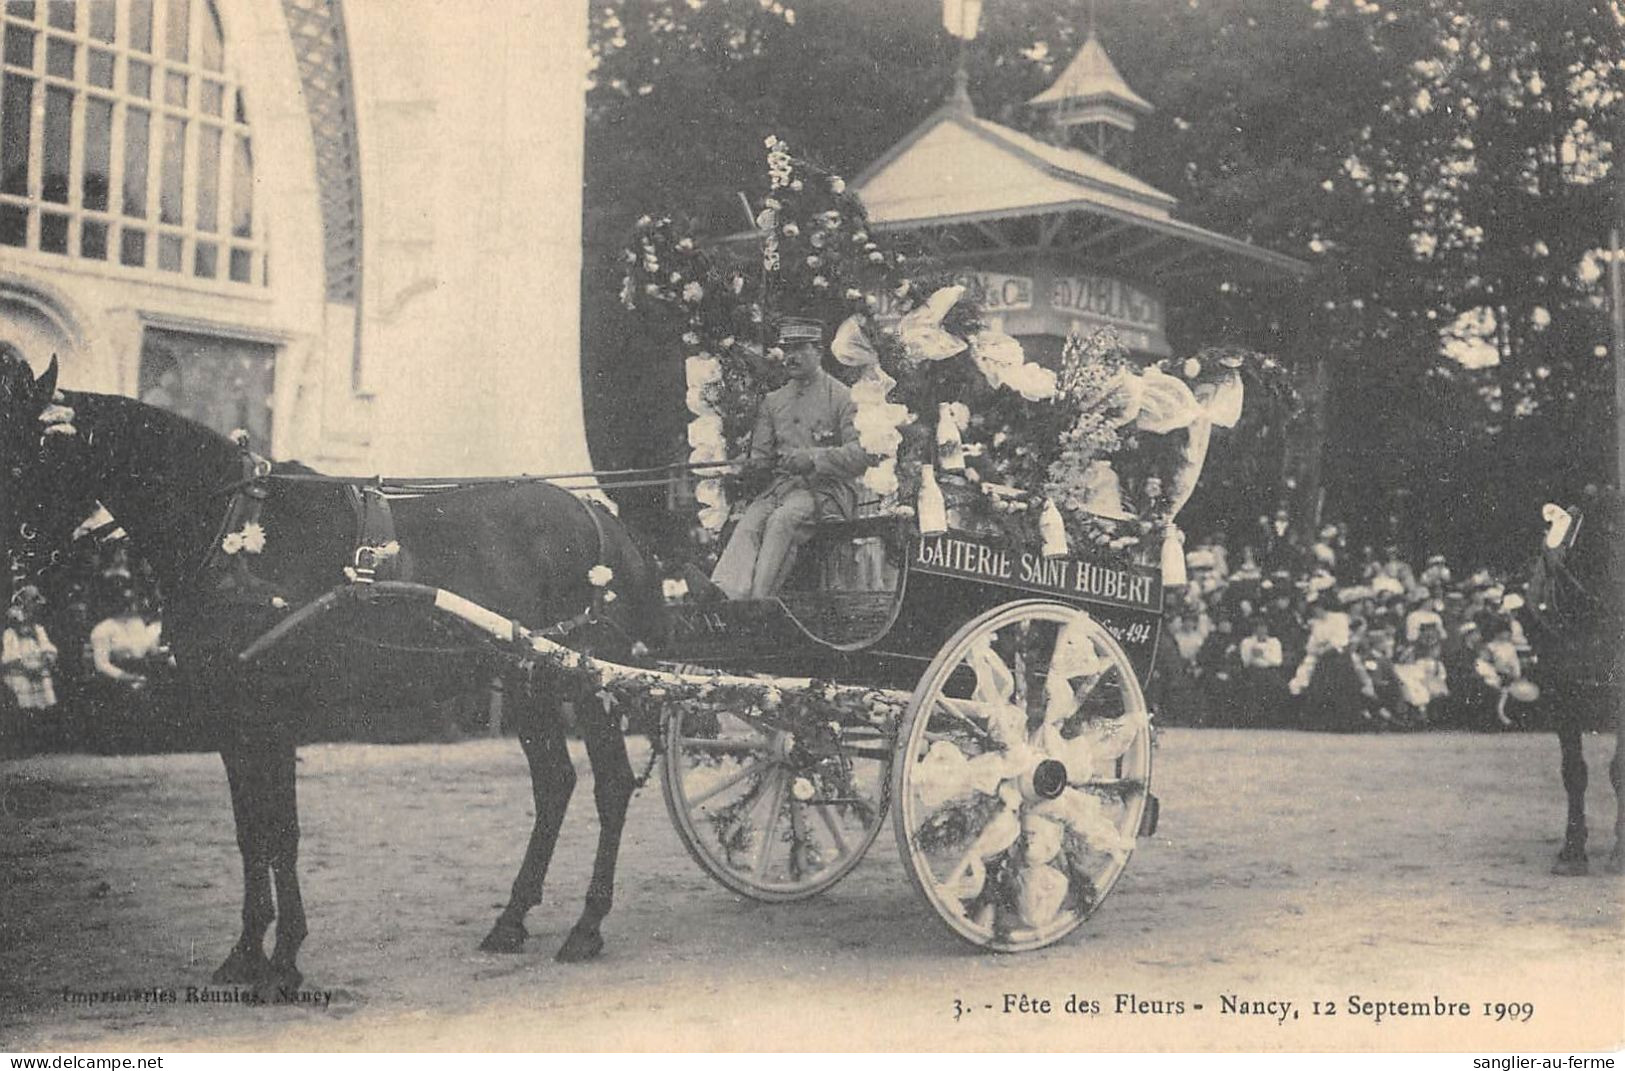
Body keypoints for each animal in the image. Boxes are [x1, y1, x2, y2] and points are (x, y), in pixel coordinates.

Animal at [1, 355, 659, 994]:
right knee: (554, 784)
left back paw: (587, 926)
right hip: (528, 681)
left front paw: (285, 958)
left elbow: (283, 830)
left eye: (31, 452)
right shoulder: (230, 714)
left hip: (586, 681)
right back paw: (512, 920)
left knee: (611, 785)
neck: (239, 535)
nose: (13, 573)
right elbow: (251, 832)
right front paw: (245, 953)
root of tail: (601, 515)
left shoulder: (275, 711)